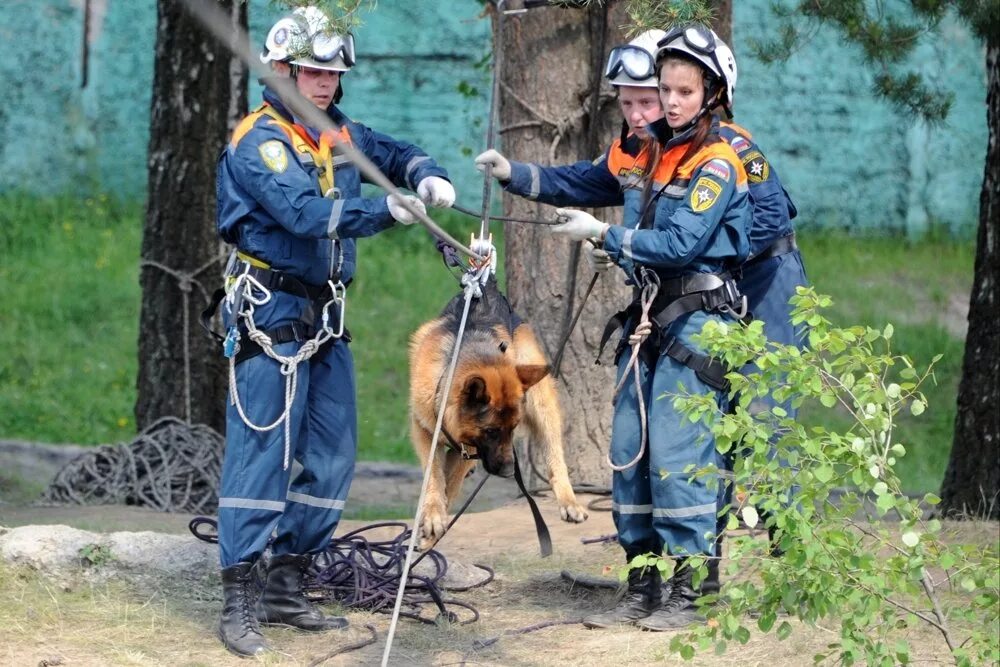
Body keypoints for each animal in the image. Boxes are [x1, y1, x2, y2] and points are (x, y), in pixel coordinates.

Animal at [410, 276, 588, 548]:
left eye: (513, 429)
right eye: (491, 431)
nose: (508, 472)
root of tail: (489, 287)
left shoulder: (469, 447)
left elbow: (450, 484)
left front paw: (433, 530)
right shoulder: (424, 430)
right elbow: (434, 476)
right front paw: (432, 514)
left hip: (540, 402)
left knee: (555, 455)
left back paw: (569, 501)